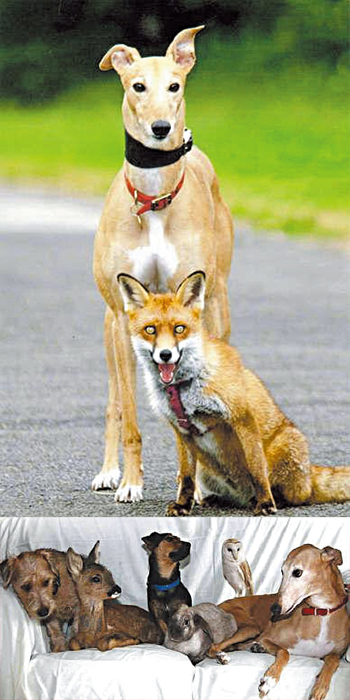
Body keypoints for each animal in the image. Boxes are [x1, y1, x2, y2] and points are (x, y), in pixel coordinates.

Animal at [93, 26, 234, 504]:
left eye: (175, 86)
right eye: (138, 86)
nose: (160, 129)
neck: (154, 199)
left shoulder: (191, 312)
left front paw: (195, 484)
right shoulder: (125, 319)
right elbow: (130, 414)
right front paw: (131, 482)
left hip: (218, 306)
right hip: (110, 334)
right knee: (115, 402)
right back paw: (109, 471)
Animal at [118, 268, 350, 516]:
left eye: (179, 328)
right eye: (150, 330)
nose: (165, 355)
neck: (183, 388)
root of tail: (309, 475)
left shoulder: (242, 417)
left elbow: (257, 468)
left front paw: (265, 503)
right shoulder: (181, 431)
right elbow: (186, 477)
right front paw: (183, 505)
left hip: (288, 444)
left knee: (297, 495)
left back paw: (272, 500)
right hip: (206, 470)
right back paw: (216, 500)